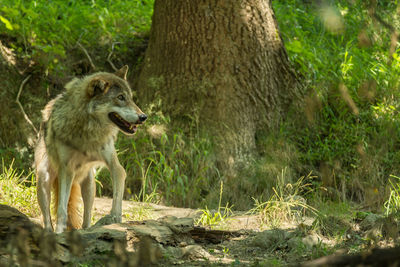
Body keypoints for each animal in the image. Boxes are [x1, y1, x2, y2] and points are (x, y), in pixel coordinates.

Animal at [34, 66, 147, 233]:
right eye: (120, 97)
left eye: (131, 98)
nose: (143, 117)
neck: (88, 131)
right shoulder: (66, 169)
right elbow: (61, 209)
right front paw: (60, 232)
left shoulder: (115, 165)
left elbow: (117, 193)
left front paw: (115, 218)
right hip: (44, 177)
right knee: (47, 218)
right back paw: (50, 233)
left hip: (89, 185)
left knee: (86, 217)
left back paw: (87, 229)